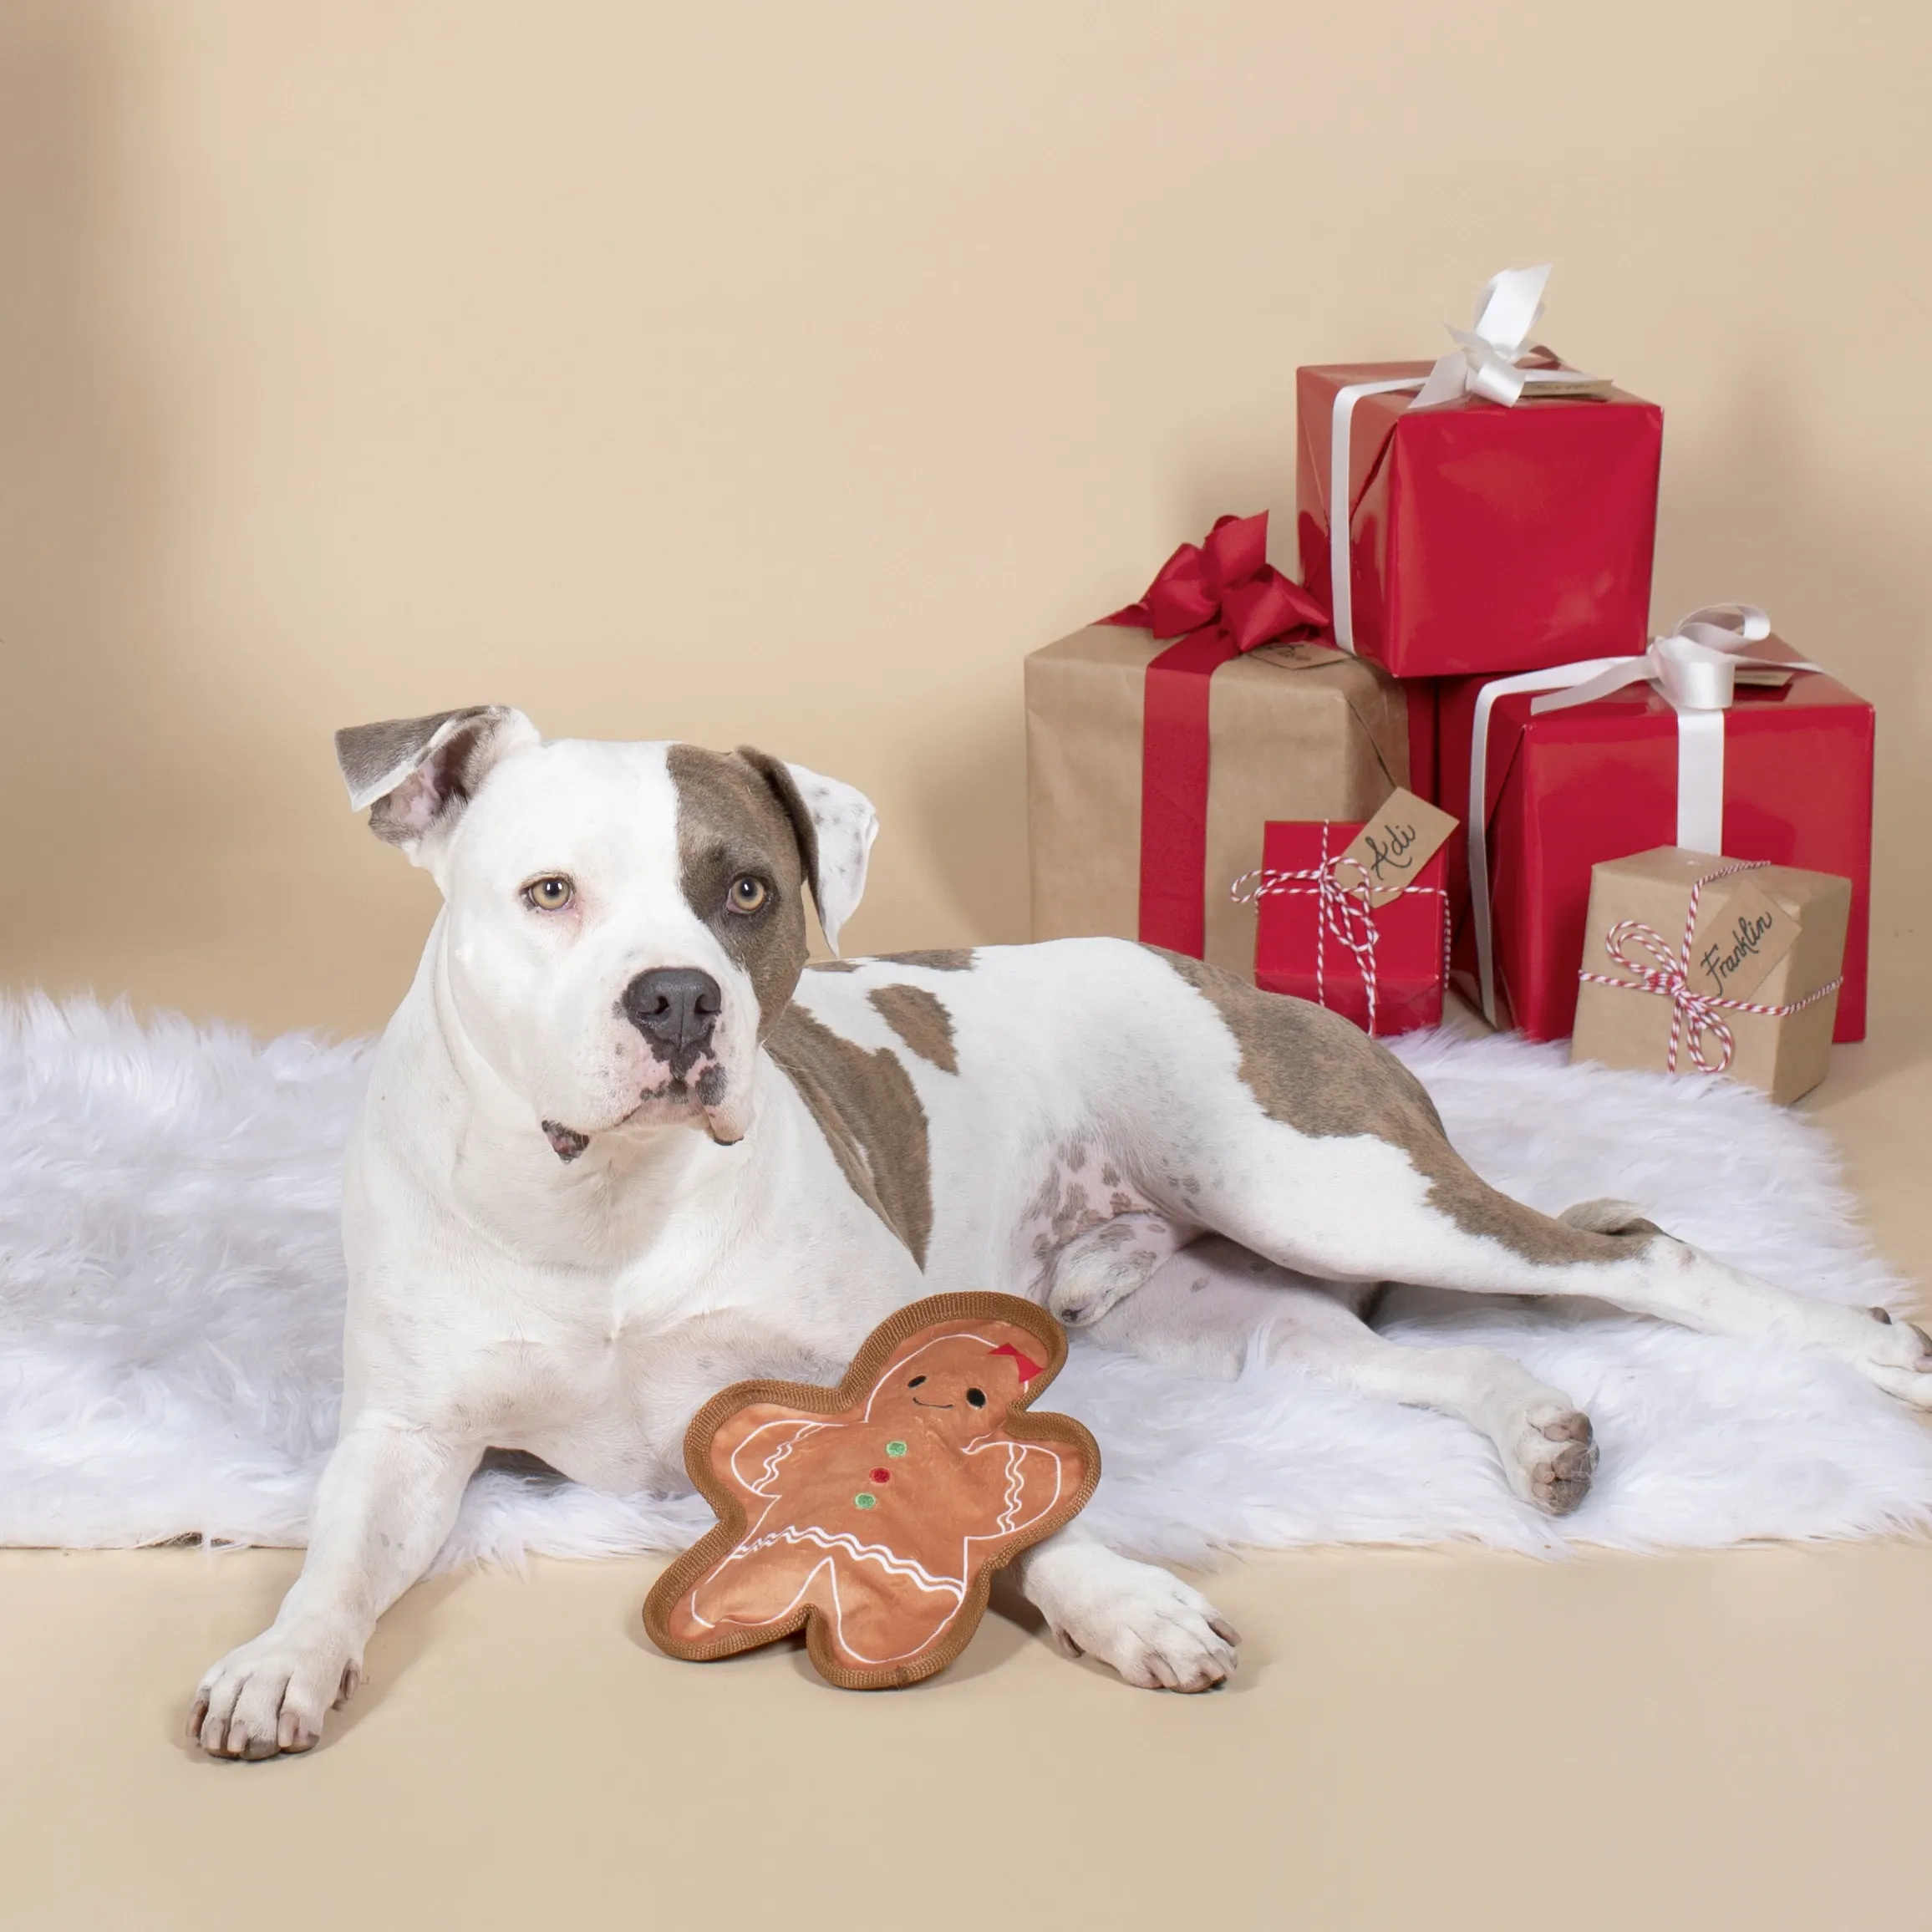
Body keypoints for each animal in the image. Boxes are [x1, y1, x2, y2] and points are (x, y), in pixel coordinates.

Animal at [184, 714, 1932, 1769]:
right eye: (547, 892)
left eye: (743, 893)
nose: (675, 999)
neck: (609, 1202)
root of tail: (1239, 972)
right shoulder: (406, 1438)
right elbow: (338, 1557)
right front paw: (277, 1658)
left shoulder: (877, 1372)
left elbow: (1015, 1519)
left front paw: (1125, 1603)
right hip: (1218, 1301)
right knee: (1405, 1353)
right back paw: (1543, 1433)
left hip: (1320, 1184)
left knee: (1629, 1250)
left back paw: (1874, 1348)